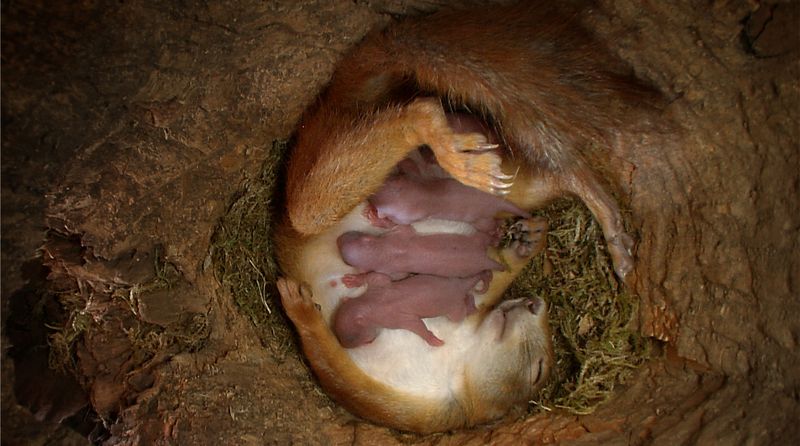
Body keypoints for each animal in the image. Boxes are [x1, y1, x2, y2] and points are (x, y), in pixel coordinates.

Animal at [330, 268, 490, 348]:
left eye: (367, 340)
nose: (342, 344)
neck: (370, 305)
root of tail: (461, 285)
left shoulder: (394, 319)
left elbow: (416, 324)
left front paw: (431, 339)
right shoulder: (378, 286)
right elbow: (376, 275)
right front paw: (355, 280)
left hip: (454, 308)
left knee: (458, 316)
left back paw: (471, 307)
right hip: (449, 276)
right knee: (468, 294)